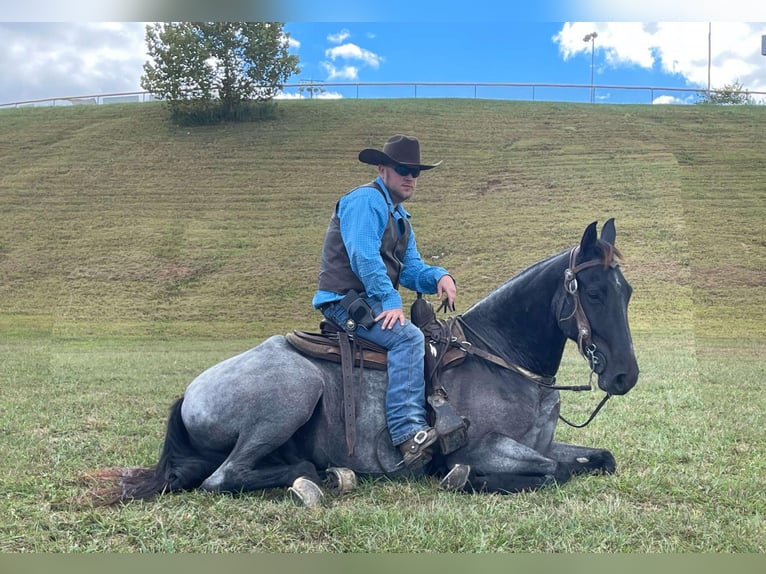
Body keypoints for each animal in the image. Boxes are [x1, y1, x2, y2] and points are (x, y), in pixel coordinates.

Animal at [88, 218, 640, 506]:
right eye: (593, 291)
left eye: (627, 291)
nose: (624, 375)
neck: (501, 359)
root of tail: (189, 393)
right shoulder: (484, 448)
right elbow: (548, 471)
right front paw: (464, 478)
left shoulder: (545, 443)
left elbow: (601, 458)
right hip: (293, 393)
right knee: (224, 478)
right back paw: (318, 477)